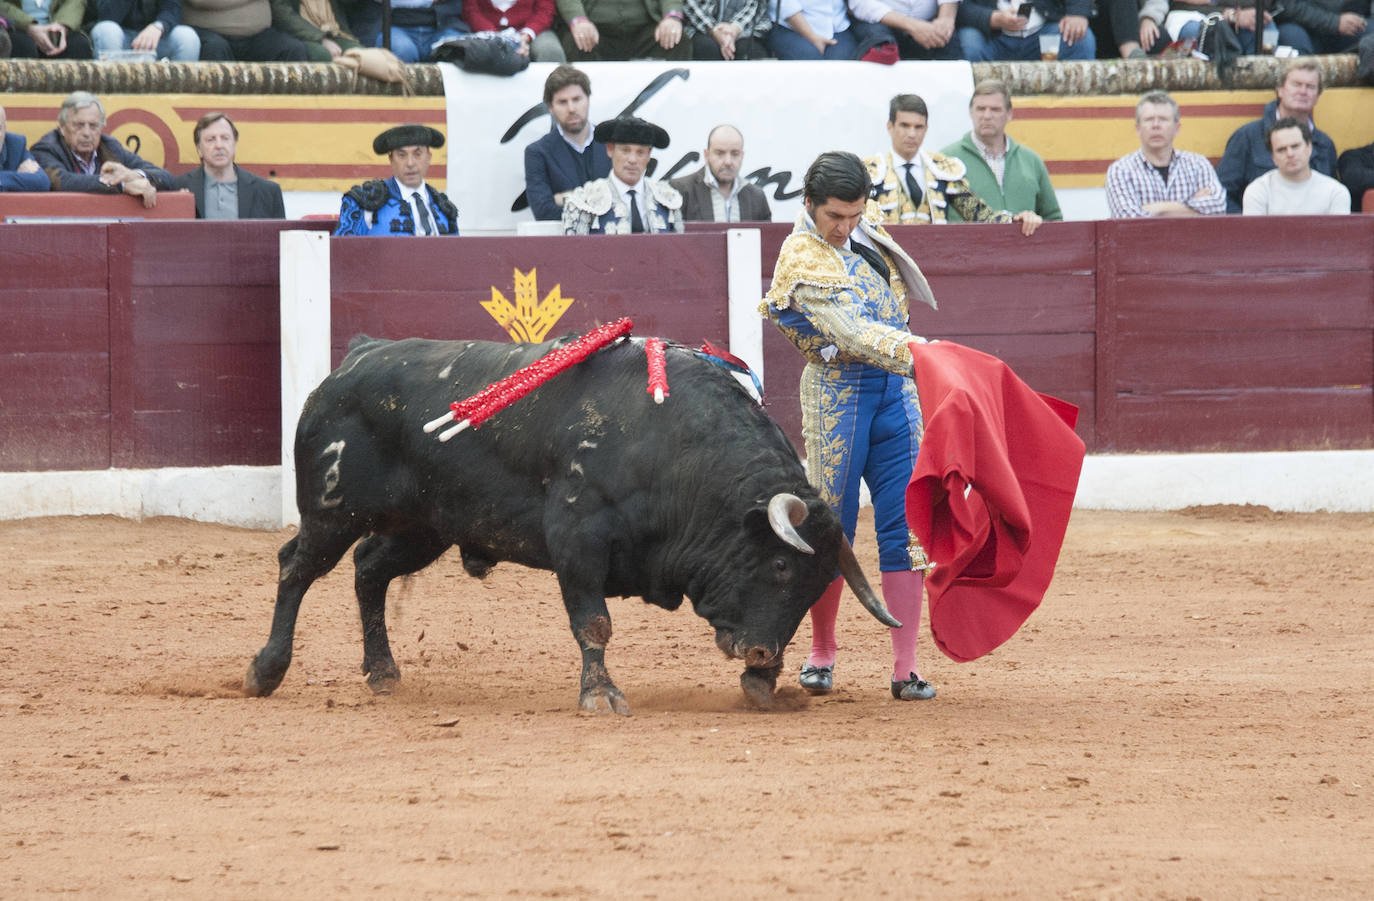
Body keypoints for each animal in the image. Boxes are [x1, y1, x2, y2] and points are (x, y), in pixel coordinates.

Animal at [241, 333, 895, 714]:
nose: (762, 654)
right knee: (296, 569)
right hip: (333, 510)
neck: (675, 450)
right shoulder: (577, 542)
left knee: (369, 571)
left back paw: (381, 672)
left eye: (817, 587)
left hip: (424, 528)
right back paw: (265, 671)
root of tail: (353, 359)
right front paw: (601, 695)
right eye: (780, 564)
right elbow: (594, 623)